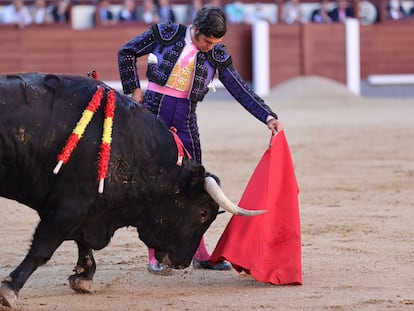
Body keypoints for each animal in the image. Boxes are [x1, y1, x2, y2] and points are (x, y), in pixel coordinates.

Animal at [0, 73, 264, 310]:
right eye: (202, 213)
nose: (182, 262)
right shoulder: (70, 206)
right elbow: (43, 248)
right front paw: (10, 290)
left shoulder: (88, 207)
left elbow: (81, 240)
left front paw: (83, 277)